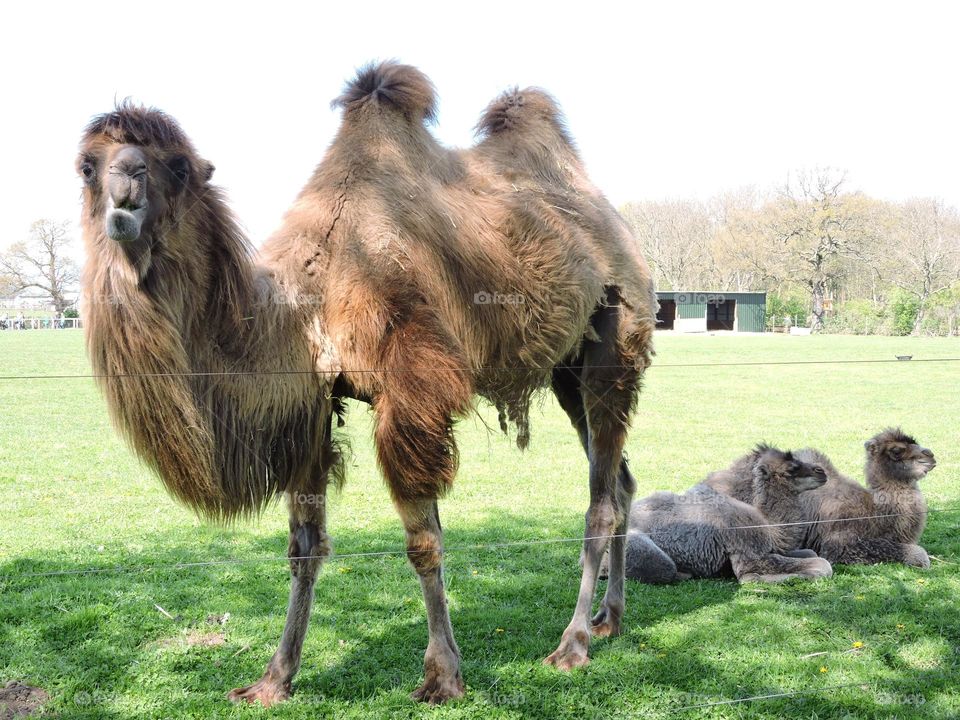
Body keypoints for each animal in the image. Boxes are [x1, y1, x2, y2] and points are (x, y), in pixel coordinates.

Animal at [76, 62, 656, 705]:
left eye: (177, 165)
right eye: (87, 165)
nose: (125, 193)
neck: (303, 304)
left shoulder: (412, 391)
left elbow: (422, 542)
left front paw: (442, 675)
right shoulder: (310, 407)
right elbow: (304, 548)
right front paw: (274, 678)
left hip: (615, 341)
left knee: (601, 501)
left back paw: (572, 644)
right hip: (566, 372)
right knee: (622, 482)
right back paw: (610, 619)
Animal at [605, 446, 832, 583]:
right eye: (792, 468)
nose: (822, 471)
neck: (768, 525)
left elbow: (812, 553)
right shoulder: (749, 552)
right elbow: (823, 565)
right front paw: (755, 578)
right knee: (664, 568)